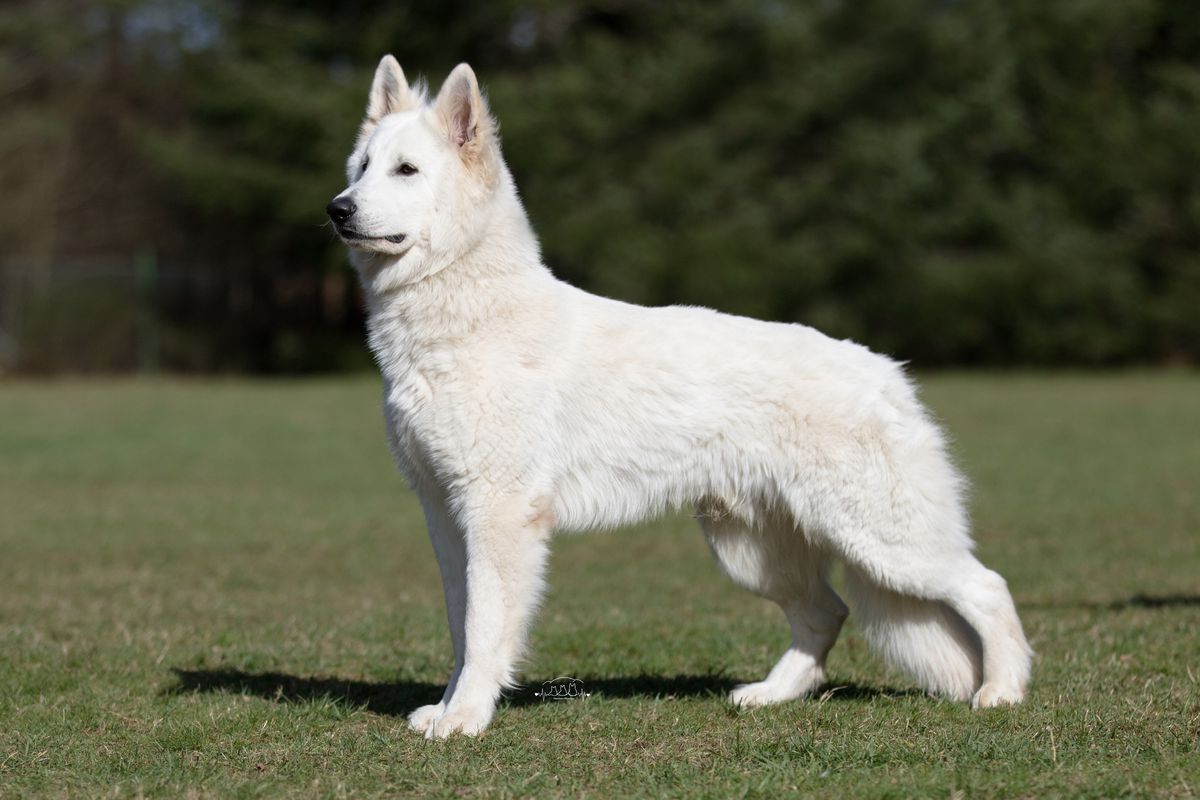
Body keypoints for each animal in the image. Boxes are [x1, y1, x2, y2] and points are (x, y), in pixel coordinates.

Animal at [326, 59, 1032, 743]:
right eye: (361, 167)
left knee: (987, 587)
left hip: (885, 542)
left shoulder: (497, 514)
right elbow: (460, 621)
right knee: (827, 612)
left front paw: (467, 717)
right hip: (753, 553)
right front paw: (445, 709)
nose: (337, 210)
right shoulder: (445, 515)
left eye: (407, 170)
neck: (466, 316)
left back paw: (1002, 691)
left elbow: (485, 626)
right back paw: (771, 695)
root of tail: (887, 372)